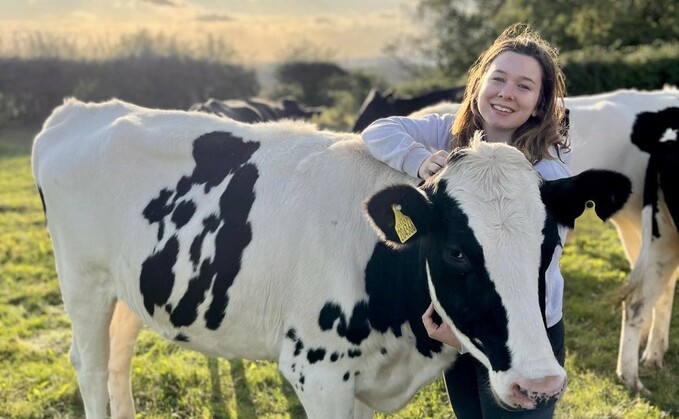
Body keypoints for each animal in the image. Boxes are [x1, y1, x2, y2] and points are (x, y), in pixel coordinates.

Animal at [30, 97, 628, 416]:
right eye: (457, 253)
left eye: (549, 246)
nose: (539, 385)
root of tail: (79, 111)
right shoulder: (317, 372)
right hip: (82, 282)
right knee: (89, 363)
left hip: (131, 286)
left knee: (118, 358)